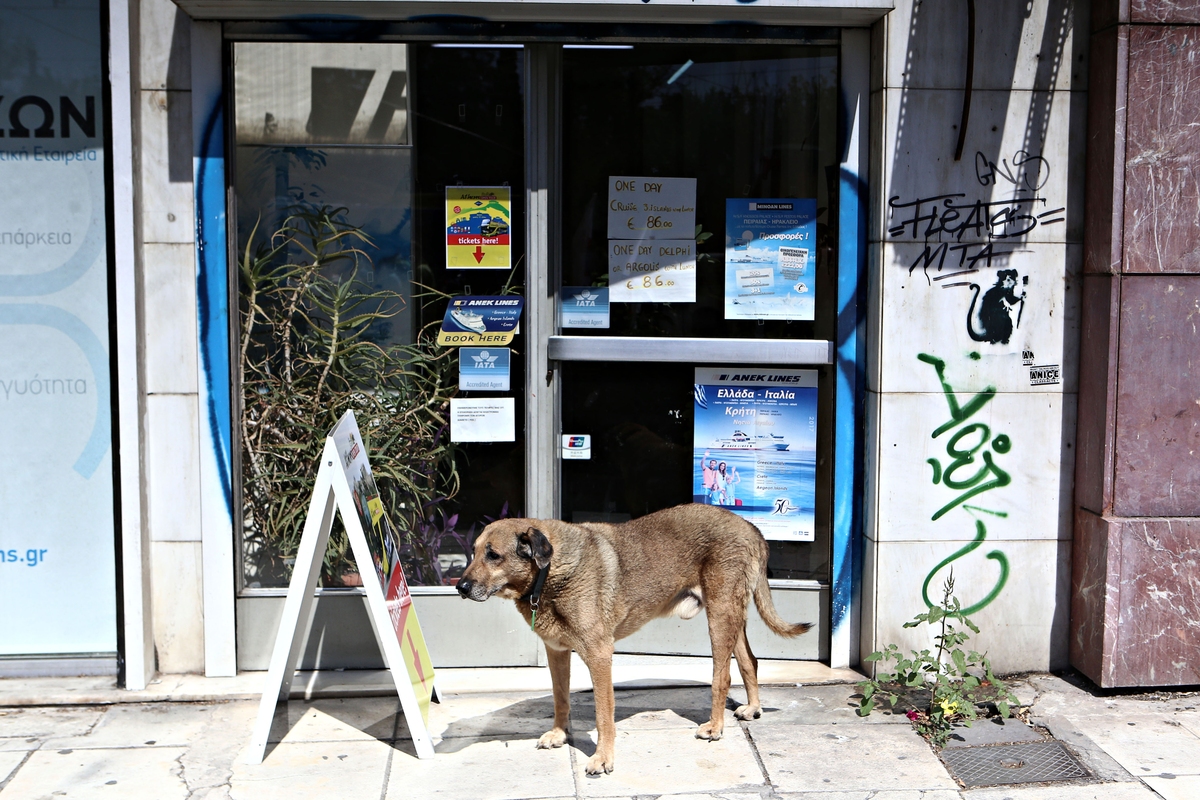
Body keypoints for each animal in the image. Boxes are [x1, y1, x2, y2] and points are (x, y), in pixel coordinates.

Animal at [456, 503, 812, 775]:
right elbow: (560, 699)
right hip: (730, 616)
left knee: (721, 676)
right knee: (749, 660)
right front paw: (560, 735)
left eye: (493, 555)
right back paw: (753, 708)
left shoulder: (599, 655)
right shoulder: (557, 652)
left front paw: (602, 758)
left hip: (721, 616)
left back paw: (715, 727)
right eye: (473, 552)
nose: (459, 587)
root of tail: (751, 527)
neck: (550, 572)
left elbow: (603, 715)